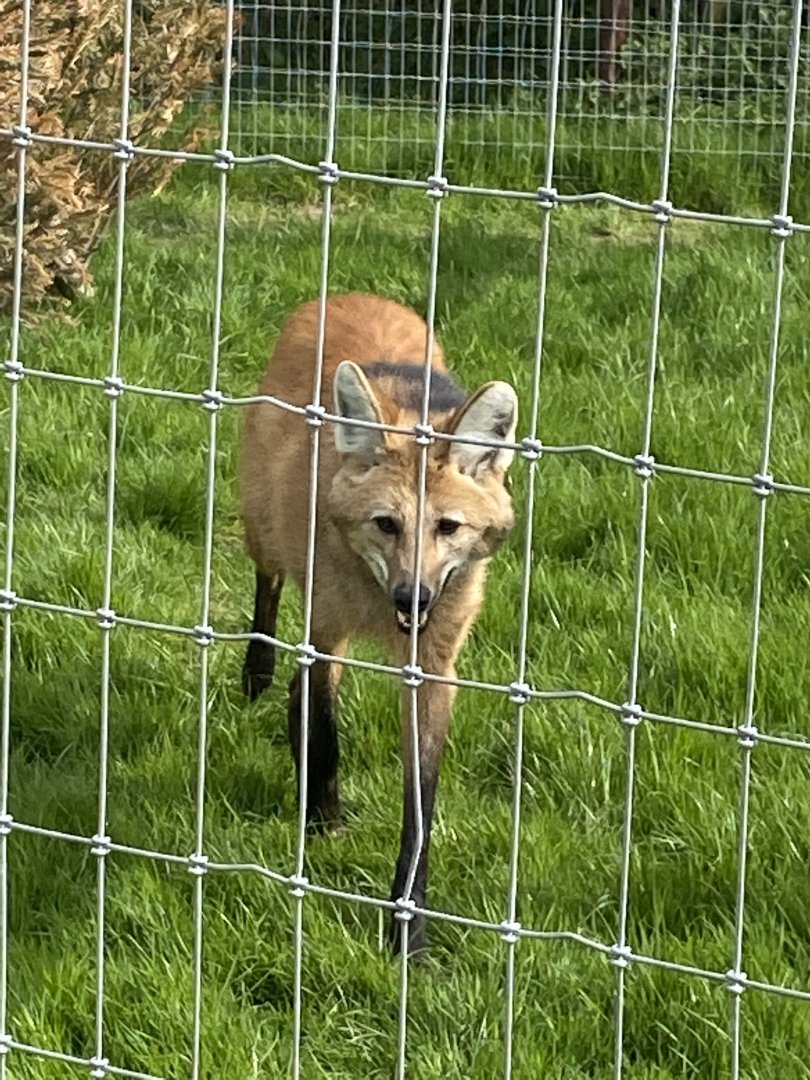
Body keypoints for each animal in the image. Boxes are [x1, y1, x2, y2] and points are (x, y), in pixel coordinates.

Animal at [240, 292, 518, 953]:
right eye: (386, 524)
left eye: (448, 527)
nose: (413, 597)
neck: (375, 601)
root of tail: (349, 295)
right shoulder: (327, 624)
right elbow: (321, 723)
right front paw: (323, 817)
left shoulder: (434, 667)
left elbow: (421, 801)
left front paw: (407, 924)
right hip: (264, 526)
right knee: (270, 593)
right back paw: (257, 672)